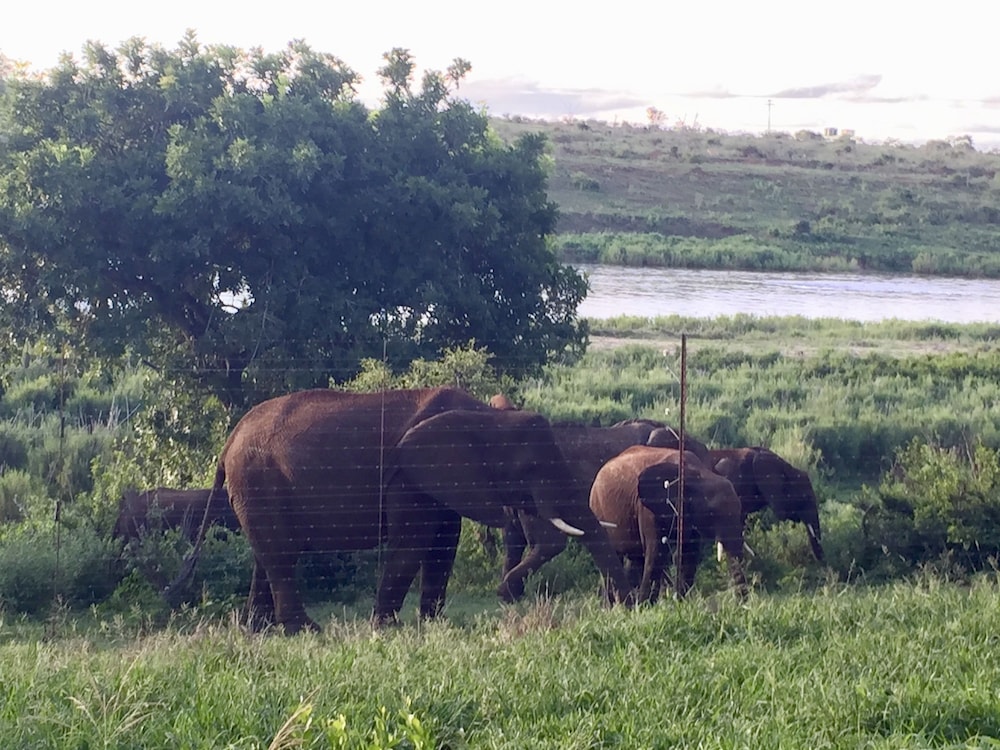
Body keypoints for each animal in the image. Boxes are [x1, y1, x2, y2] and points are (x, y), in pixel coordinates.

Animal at [188, 387, 631, 633]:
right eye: (530, 469)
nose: (626, 605)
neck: (484, 416)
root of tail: (228, 443)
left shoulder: (443, 479)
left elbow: (443, 544)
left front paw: (433, 623)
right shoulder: (408, 477)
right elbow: (414, 542)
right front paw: (385, 627)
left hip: (255, 487)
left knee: (267, 555)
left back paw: (260, 630)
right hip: (258, 481)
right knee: (281, 556)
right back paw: (306, 630)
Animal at [589, 445, 747, 603]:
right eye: (711, 514)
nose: (739, 603)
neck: (698, 475)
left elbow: (689, 555)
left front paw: (680, 602)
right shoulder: (649, 509)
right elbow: (656, 554)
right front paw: (646, 606)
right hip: (599, 509)